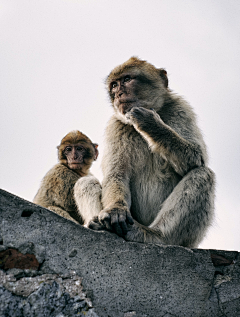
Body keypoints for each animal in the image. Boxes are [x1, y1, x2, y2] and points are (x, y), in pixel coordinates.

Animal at [75, 57, 216, 247]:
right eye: (114, 85)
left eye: (127, 79)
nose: (118, 94)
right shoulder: (116, 126)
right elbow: (116, 174)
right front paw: (116, 210)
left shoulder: (181, 109)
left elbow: (196, 158)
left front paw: (150, 123)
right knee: (85, 181)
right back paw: (99, 224)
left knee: (202, 174)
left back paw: (156, 235)